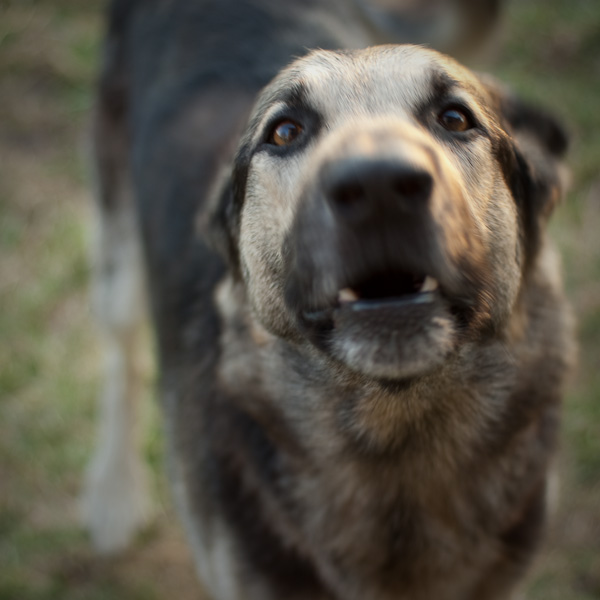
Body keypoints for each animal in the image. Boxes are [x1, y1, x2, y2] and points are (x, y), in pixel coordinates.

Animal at [82, 1, 576, 600]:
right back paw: (113, 490)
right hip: (119, 253)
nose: (380, 187)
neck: (397, 443)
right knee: (121, 357)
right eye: (285, 131)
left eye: (455, 118)